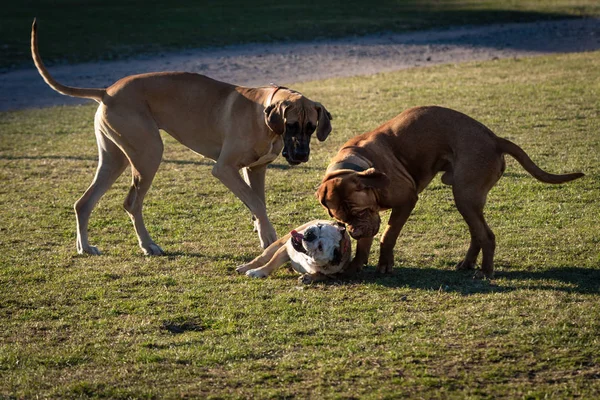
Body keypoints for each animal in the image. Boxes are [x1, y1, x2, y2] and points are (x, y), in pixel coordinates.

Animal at [30, 20, 332, 255]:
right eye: (291, 126)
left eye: (311, 127)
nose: (301, 155)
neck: (264, 115)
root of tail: (107, 91)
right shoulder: (225, 169)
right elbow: (256, 202)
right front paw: (269, 236)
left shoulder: (255, 169)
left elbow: (258, 203)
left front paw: (263, 233)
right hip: (148, 154)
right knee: (131, 202)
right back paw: (148, 245)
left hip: (115, 158)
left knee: (84, 203)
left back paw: (85, 247)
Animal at [316, 106, 584, 278]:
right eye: (341, 220)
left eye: (360, 211)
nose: (354, 232)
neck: (354, 163)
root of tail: (494, 138)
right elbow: (366, 244)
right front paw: (355, 265)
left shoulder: (406, 201)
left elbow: (388, 235)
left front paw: (384, 264)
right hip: (469, 199)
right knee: (477, 233)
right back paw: (468, 263)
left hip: (465, 196)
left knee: (487, 236)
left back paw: (485, 272)